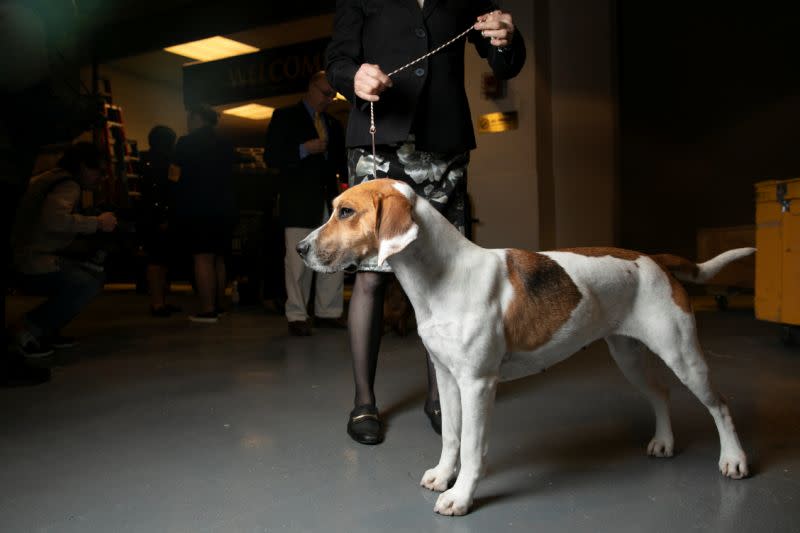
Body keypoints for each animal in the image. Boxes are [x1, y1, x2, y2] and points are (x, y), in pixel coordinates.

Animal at [296, 179, 752, 516]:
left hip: (683, 356)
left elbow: (472, 447)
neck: (444, 276)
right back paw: (664, 443)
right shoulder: (447, 378)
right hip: (629, 357)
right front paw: (443, 476)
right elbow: (451, 438)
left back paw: (733, 459)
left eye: (346, 212)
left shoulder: (478, 385)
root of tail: (652, 259)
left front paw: (461, 496)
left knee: (722, 407)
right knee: (660, 394)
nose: (300, 249)